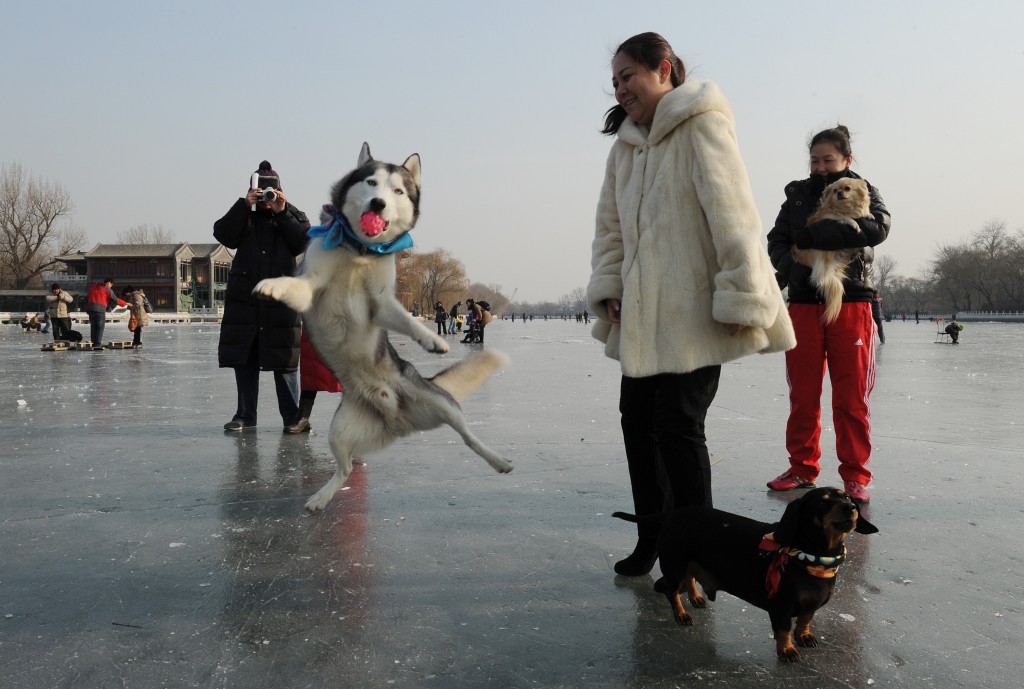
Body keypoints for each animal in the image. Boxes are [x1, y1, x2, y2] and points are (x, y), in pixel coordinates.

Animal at [256, 143, 512, 509]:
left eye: (398, 191)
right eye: (371, 183)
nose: (378, 204)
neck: (358, 252)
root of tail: (396, 420)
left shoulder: (379, 302)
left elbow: (405, 318)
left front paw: (432, 341)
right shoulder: (313, 284)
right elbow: (294, 284)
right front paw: (273, 287)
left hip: (440, 404)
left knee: (467, 435)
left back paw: (498, 460)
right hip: (341, 429)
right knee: (345, 468)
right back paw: (321, 497)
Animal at [790, 179, 872, 325]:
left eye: (847, 188)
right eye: (834, 190)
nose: (839, 192)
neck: (845, 208)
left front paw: (868, 214)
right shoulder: (828, 218)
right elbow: (845, 218)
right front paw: (854, 223)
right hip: (823, 252)